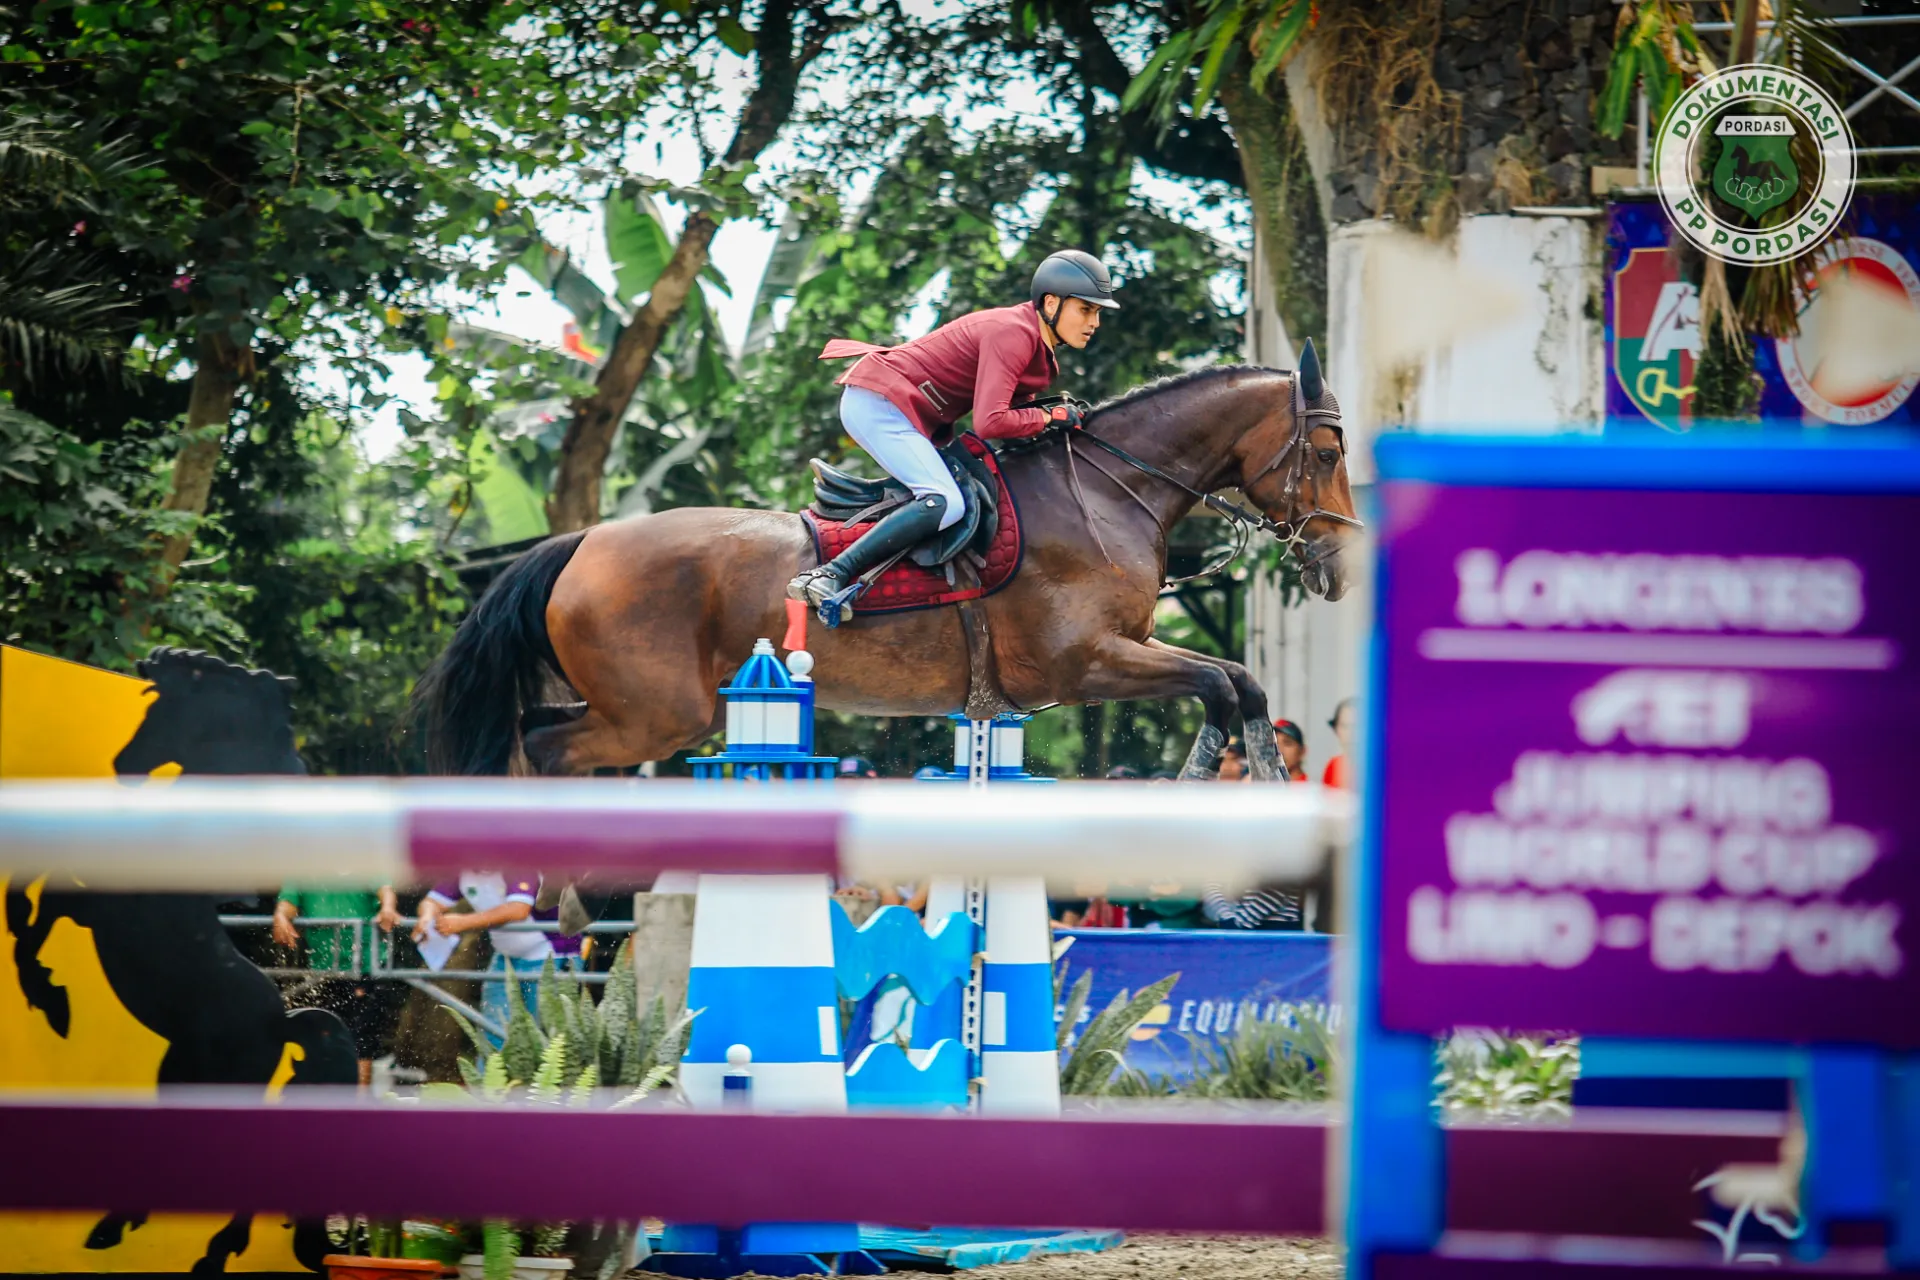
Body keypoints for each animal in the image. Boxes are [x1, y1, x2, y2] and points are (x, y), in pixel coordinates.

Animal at [409, 349, 1361, 780]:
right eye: (1323, 452)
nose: (1342, 568)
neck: (1105, 491)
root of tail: (580, 542)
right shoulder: (1084, 663)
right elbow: (1221, 685)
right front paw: (1213, 777)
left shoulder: (1119, 652)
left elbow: (1238, 682)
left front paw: (1247, 774)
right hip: (655, 715)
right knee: (544, 749)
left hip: (655, 709)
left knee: (536, 738)